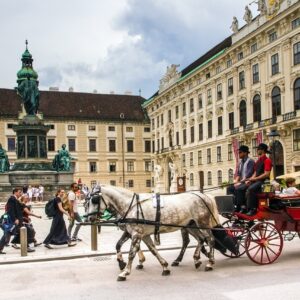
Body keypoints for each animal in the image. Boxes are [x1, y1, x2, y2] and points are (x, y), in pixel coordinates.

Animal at [85, 185, 219, 282]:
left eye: (94, 200)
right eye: (86, 202)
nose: (89, 219)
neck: (131, 206)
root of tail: (204, 195)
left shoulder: (137, 233)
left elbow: (132, 253)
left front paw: (125, 272)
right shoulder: (138, 233)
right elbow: (150, 249)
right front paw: (164, 266)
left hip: (202, 223)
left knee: (210, 239)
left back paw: (210, 263)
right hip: (190, 225)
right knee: (200, 239)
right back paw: (196, 259)